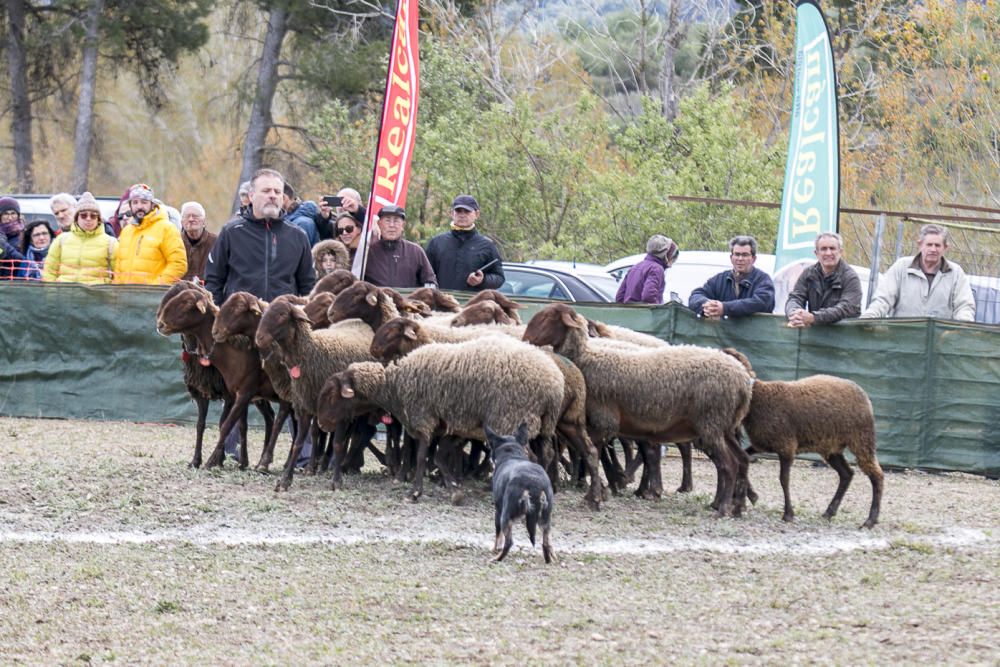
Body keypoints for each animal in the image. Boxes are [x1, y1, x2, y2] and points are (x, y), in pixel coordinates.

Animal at [254, 296, 376, 490]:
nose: (259, 338)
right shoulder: (305, 406)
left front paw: (336, 481)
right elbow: (298, 443)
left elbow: (338, 443)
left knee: (357, 434)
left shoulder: (340, 408)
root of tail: (359, 321)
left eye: (282, 315)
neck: (312, 353)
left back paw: (345, 466)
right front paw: (285, 480)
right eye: (264, 313)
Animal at [316, 336, 568, 504]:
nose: (321, 424)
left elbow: (420, 456)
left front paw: (414, 492)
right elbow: (438, 457)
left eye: (331, 395)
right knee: (546, 455)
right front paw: (454, 489)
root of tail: (553, 385)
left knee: (529, 457)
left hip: (511, 417)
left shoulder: (423, 418)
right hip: (542, 425)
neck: (394, 385)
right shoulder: (450, 425)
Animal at [484, 426, 556, 560]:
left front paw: (495, 549)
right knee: (546, 541)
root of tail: (534, 482)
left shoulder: (498, 510)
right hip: (545, 517)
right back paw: (550, 559)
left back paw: (497, 559)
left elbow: (498, 534)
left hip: (505, 515)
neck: (512, 455)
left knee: (509, 542)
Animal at [524, 302, 752, 516]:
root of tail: (743, 379)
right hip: (722, 426)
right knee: (741, 459)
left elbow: (594, 452)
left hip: (711, 422)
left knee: (728, 464)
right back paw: (736, 506)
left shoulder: (604, 420)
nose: (525, 340)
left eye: (546, 318)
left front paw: (596, 492)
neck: (586, 358)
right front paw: (603, 488)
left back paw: (722, 507)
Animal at [724, 350, 888, 532]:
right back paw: (829, 512)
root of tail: (864, 394)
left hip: (862, 438)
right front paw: (752, 495)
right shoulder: (764, 443)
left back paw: (870, 520)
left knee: (876, 475)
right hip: (832, 446)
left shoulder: (786, 446)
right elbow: (745, 457)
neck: (758, 397)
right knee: (846, 474)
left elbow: (784, 479)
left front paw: (788, 514)